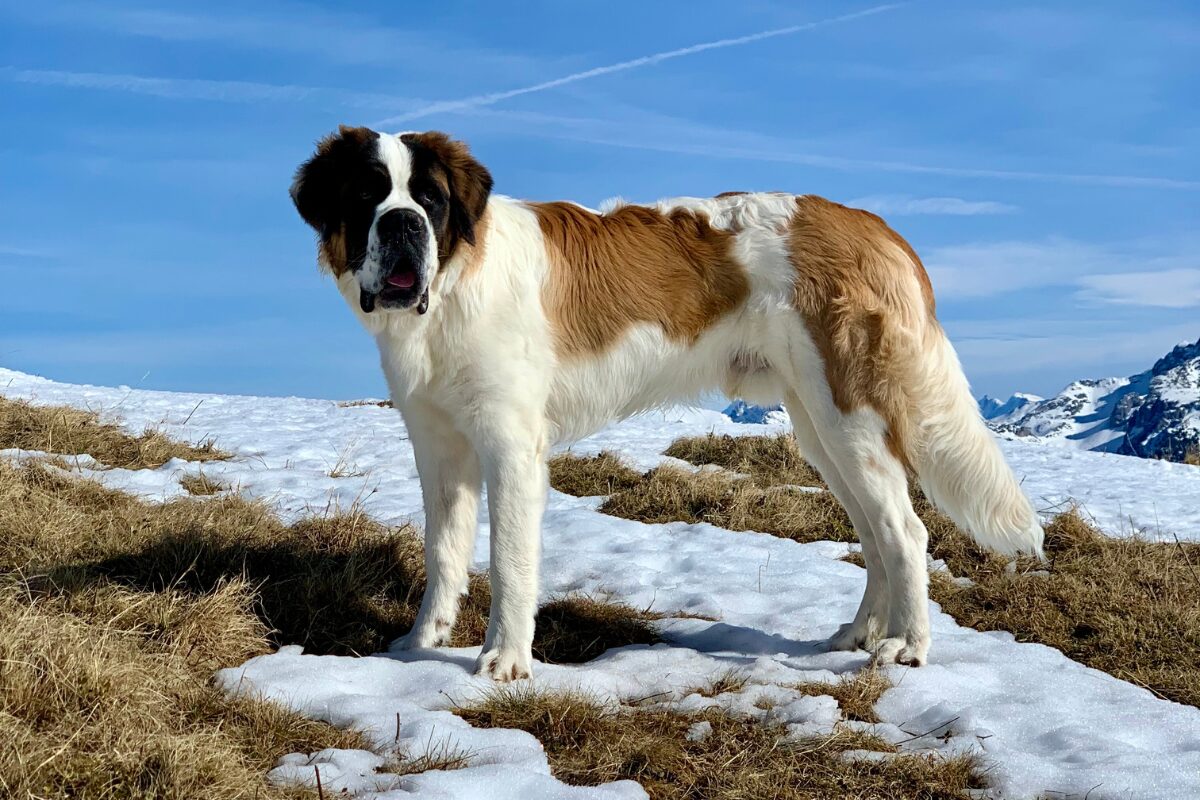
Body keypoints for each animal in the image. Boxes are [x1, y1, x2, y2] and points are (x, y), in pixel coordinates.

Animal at [290, 125, 1041, 681]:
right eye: (369, 195)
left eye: (431, 199)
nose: (402, 225)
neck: (451, 288)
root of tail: (871, 224)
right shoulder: (439, 449)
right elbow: (443, 552)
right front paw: (421, 644)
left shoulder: (511, 448)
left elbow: (508, 559)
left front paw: (505, 660)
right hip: (821, 430)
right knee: (876, 533)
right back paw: (858, 633)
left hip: (848, 416)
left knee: (906, 533)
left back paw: (908, 648)